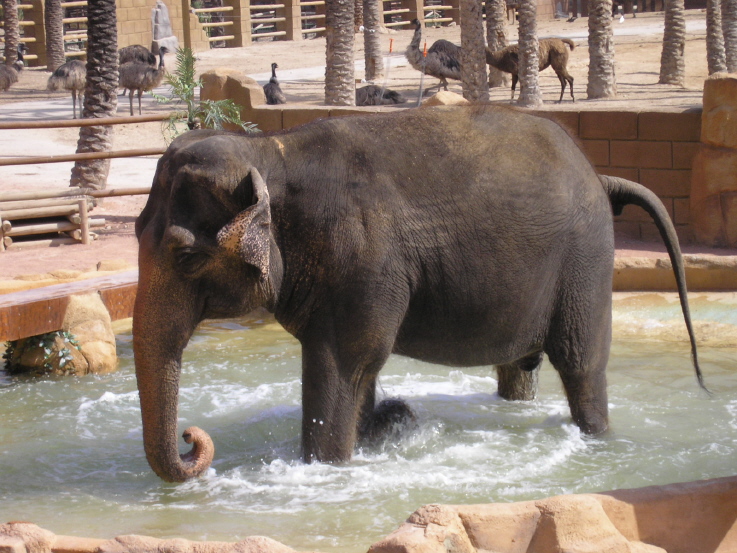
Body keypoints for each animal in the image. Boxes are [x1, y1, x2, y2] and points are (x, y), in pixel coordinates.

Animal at [133, 105, 704, 482]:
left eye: (185, 257)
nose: (191, 437)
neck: (271, 151)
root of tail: (601, 177)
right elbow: (361, 371)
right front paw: (378, 429)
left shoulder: (361, 258)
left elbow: (341, 364)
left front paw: (326, 468)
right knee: (521, 367)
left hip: (585, 259)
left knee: (581, 364)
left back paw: (596, 437)